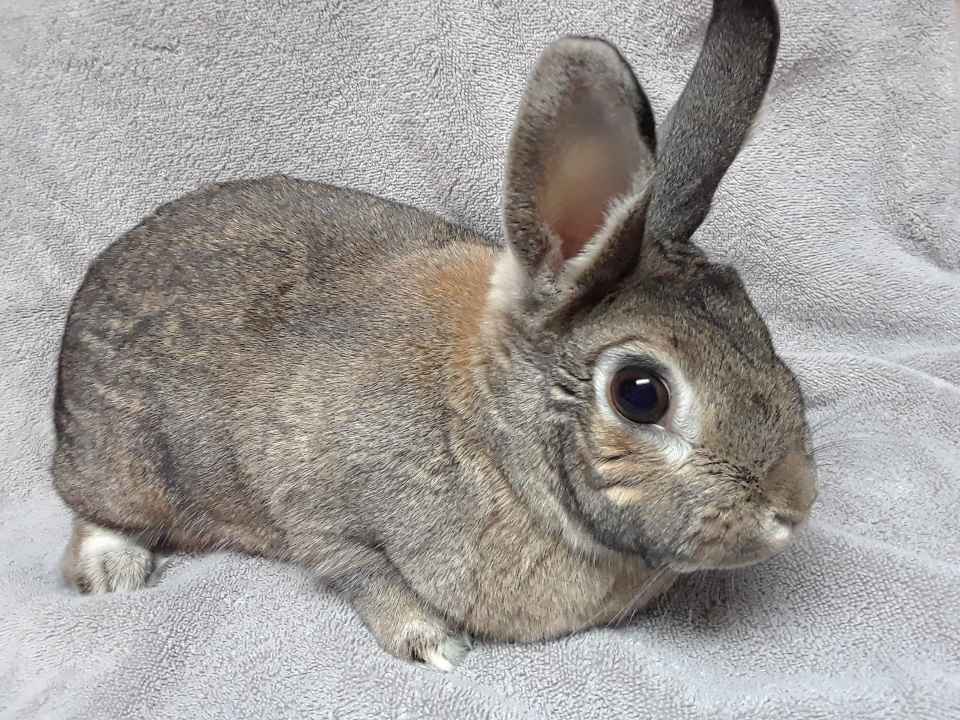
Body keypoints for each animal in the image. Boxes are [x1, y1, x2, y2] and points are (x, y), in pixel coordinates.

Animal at [52, 0, 815, 671]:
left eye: (758, 326)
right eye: (640, 393)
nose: (793, 507)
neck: (496, 439)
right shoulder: (316, 510)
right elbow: (361, 570)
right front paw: (435, 643)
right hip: (124, 464)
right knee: (86, 505)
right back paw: (115, 569)